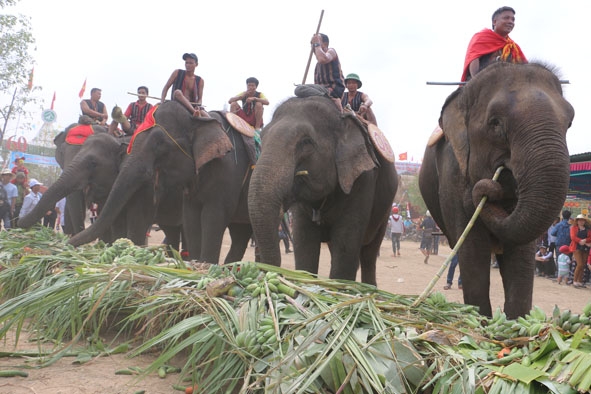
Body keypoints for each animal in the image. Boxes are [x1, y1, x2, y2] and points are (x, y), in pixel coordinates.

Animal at [247, 86, 400, 284]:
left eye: (306, 142)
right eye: (262, 140)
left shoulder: (363, 179)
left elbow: (346, 244)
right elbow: (305, 244)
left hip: (386, 209)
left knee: (369, 252)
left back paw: (370, 287)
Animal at [418, 62, 576, 320]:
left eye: (570, 123)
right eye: (495, 123)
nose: (491, 187)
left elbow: (521, 255)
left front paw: (516, 325)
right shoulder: (452, 172)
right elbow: (473, 250)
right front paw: (481, 323)